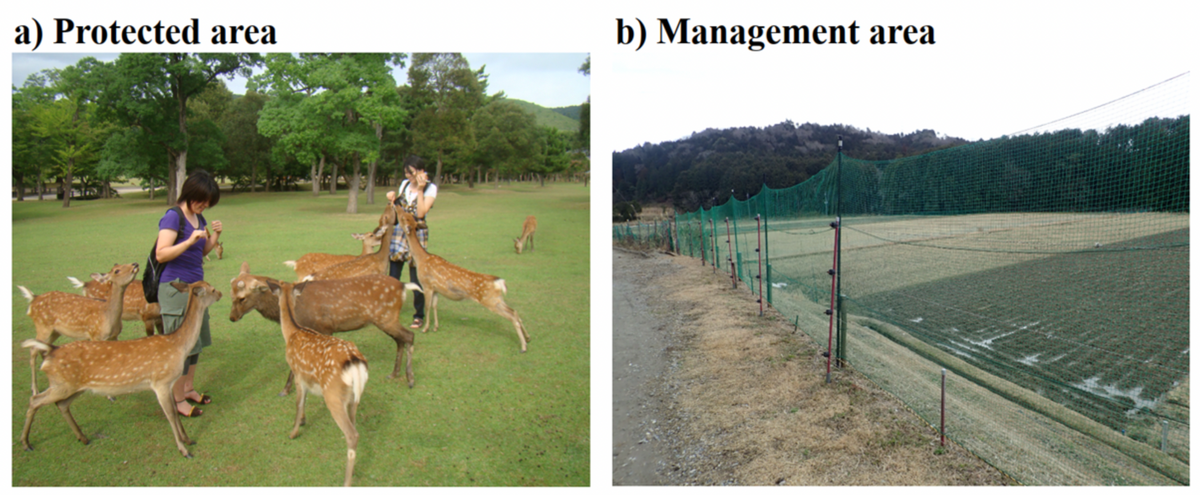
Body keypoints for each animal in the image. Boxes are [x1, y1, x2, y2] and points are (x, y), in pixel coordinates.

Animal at [19, 263, 139, 394]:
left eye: (124, 263)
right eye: (116, 270)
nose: (135, 264)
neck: (108, 317)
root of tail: (33, 299)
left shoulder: (114, 337)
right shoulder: (95, 335)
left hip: (55, 331)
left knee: (43, 348)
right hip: (42, 326)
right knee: (33, 350)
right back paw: (35, 390)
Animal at [19, 279, 223, 458]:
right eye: (211, 289)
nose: (220, 293)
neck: (178, 346)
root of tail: (51, 351)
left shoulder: (169, 383)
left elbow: (174, 411)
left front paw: (188, 440)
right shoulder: (161, 382)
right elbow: (171, 415)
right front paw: (184, 450)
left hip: (74, 386)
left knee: (61, 404)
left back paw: (82, 437)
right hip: (61, 384)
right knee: (34, 400)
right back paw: (26, 442)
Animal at [231, 259, 420, 394]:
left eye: (242, 298)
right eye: (230, 295)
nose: (231, 317)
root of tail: (403, 286)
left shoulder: (318, 328)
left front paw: (285, 389)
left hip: (386, 317)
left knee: (409, 336)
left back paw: (410, 379)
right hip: (386, 319)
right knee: (400, 340)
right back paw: (394, 373)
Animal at [274, 278, 367, 487]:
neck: (291, 333)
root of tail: (355, 363)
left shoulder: (297, 373)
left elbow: (299, 402)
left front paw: (293, 432)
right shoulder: (307, 378)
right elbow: (305, 400)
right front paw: (303, 421)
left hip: (333, 394)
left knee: (352, 434)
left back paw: (346, 482)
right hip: (354, 398)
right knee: (355, 427)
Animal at [393, 209, 530, 350]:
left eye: (404, 217)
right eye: (408, 215)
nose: (397, 207)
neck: (421, 259)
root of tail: (499, 282)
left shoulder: (427, 285)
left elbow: (427, 306)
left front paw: (425, 329)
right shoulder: (436, 289)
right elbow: (435, 306)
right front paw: (436, 327)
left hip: (489, 300)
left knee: (512, 316)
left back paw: (523, 346)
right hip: (497, 299)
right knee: (514, 311)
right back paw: (528, 338)